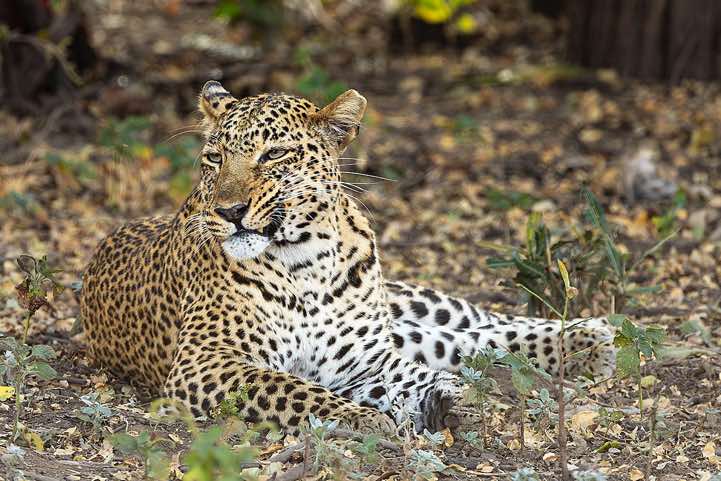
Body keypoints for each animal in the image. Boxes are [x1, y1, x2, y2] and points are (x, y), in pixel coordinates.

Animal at [80, 81, 615, 435]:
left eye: (273, 155)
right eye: (215, 158)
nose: (229, 211)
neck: (304, 260)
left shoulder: (367, 359)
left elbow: (413, 373)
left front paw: (446, 400)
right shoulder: (206, 362)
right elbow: (295, 390)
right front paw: (364, 420)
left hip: (409, 304)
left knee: (481, 323)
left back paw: (591, 335)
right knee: (464, 341)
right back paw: (590, 342)